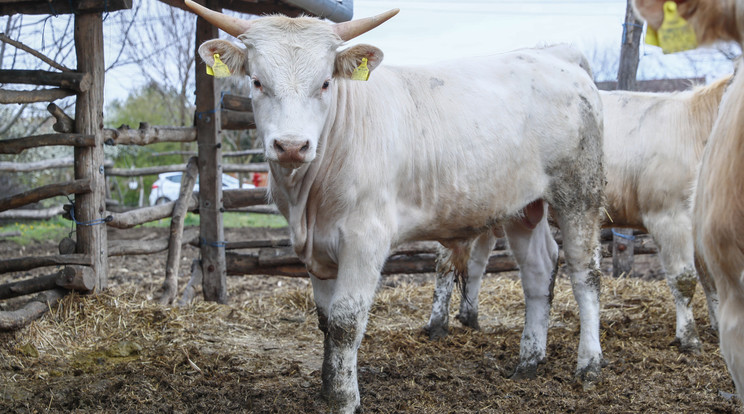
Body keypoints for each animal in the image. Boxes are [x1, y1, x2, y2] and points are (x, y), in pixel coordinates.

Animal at [186, 2, 604, 410]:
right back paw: (528, 362)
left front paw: (343, 399)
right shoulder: (316, 250)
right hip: (524, 206)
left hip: (580, 194)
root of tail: (556, 54)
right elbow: (325, 320)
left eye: (325, 83)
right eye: (257, 81)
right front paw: (326, 389)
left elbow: (345, 321)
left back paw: (589, 365)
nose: (291, 145)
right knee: (538, 270)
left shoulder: (365, 238)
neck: (308, 201)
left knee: (585, 275)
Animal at [428, 78, 728, 356]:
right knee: (445, 263)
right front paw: (689, 339)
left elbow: (711, 279)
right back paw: (437, 325)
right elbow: (685, 279)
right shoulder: (668, 216)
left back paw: (470, 318)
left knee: (476, 262)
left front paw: (718, 325)